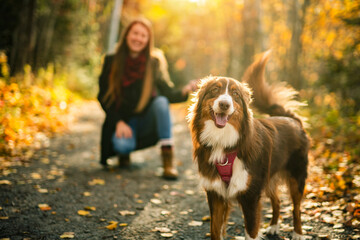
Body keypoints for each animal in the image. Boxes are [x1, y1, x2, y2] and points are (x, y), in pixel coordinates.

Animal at [188, 51, 310, 240]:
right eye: (215, 90)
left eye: (235, 94)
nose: (224, 104)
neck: (225, 144)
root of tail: (293, 120)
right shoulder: (215, 194)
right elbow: (215, 230)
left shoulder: (251, 196)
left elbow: (251, 231)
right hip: (269, 177)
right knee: (277, 200)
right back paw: (273, 226)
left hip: (297, 176)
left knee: (296, 208)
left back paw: (297, 233)